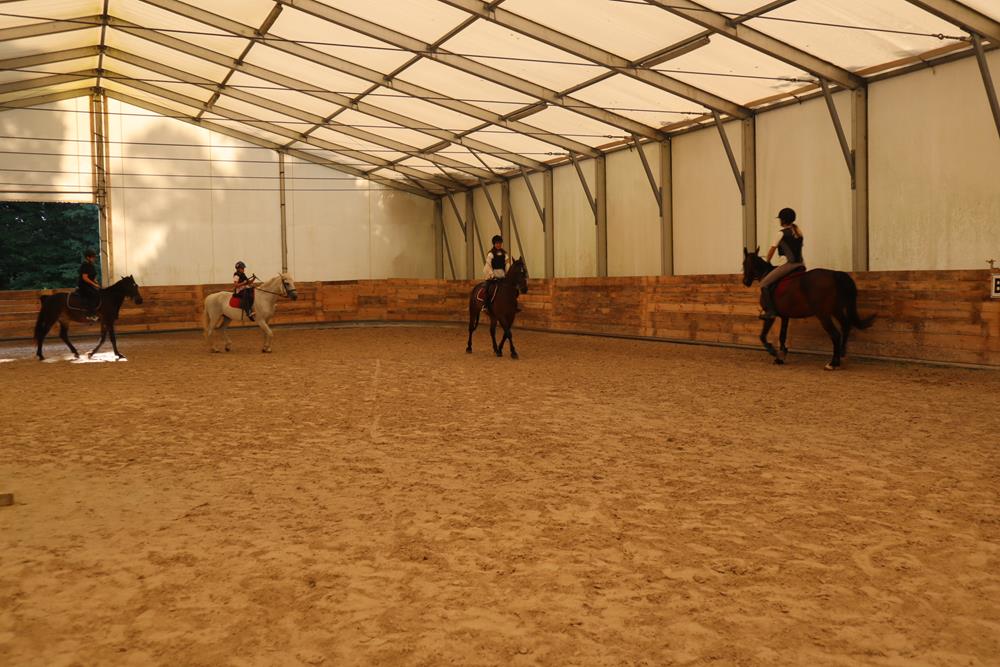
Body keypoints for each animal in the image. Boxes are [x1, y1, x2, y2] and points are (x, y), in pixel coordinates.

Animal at [742, 248, 875, 370]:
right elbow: (782, 336)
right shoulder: (785, 316)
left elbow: (762, 336)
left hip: (824, 315)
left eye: (744, 263)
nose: (745, 282)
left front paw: (773, 352)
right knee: (846, 325)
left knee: (835, 334)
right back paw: (840, 356)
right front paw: (781, 357)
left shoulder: (770, 316)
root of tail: (834, 274)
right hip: (836, 310)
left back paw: (832, 363)